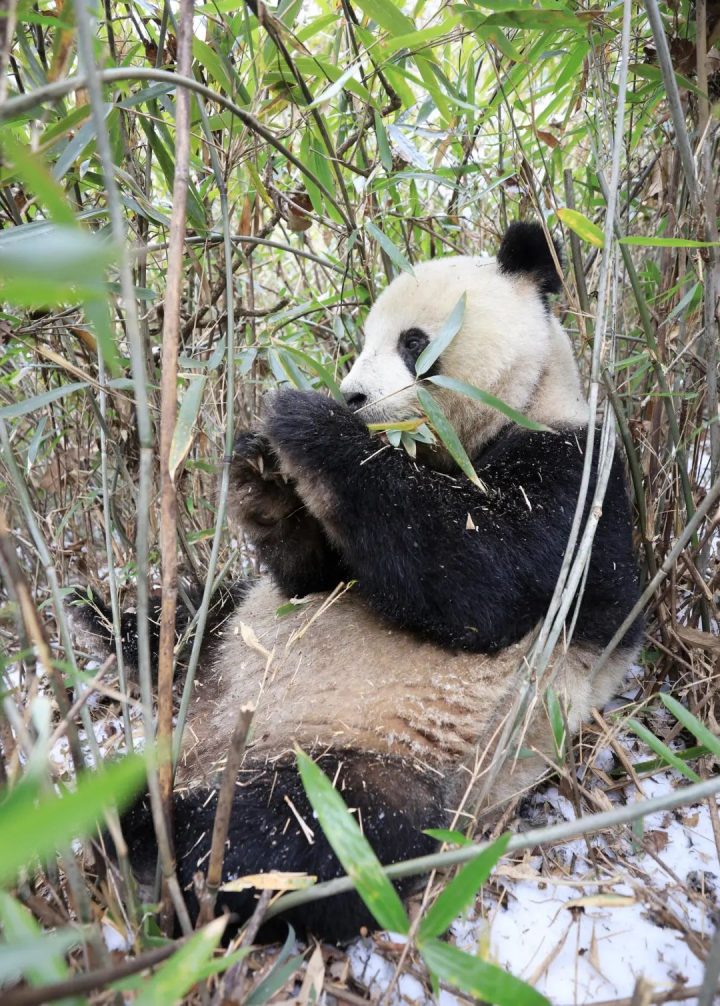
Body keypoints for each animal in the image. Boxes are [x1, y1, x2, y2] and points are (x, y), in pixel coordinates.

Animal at [72, 222, 639, 941]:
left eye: (413, 340)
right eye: (365, 339)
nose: (354, 397)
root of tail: (203, 731)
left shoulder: (577, 489)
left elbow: (477, 579)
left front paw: (309, 425)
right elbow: (311, 579)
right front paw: (262, 475)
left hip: (381, 761)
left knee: (293, 838)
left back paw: (146, 831)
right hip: (229, 643)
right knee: (199, 617)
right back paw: (102, 619)